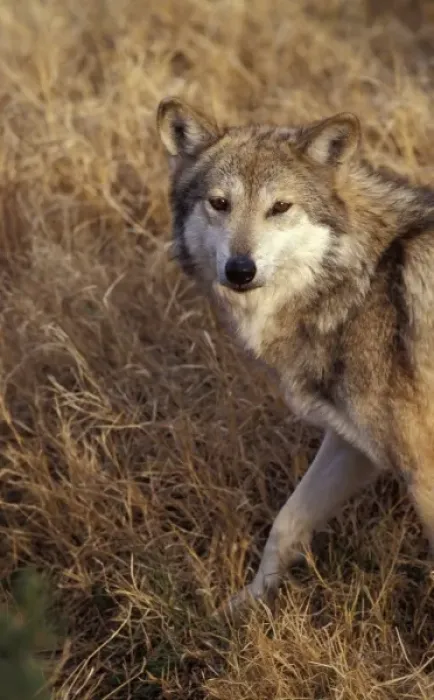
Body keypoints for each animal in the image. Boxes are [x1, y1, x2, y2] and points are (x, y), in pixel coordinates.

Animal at [157, 96, 434, 615]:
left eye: (280, 207)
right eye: (220, 203)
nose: (240, 270)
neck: (363, 283)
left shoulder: (421, 468)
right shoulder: (352, 445)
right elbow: (286, 524)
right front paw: (243, 608)